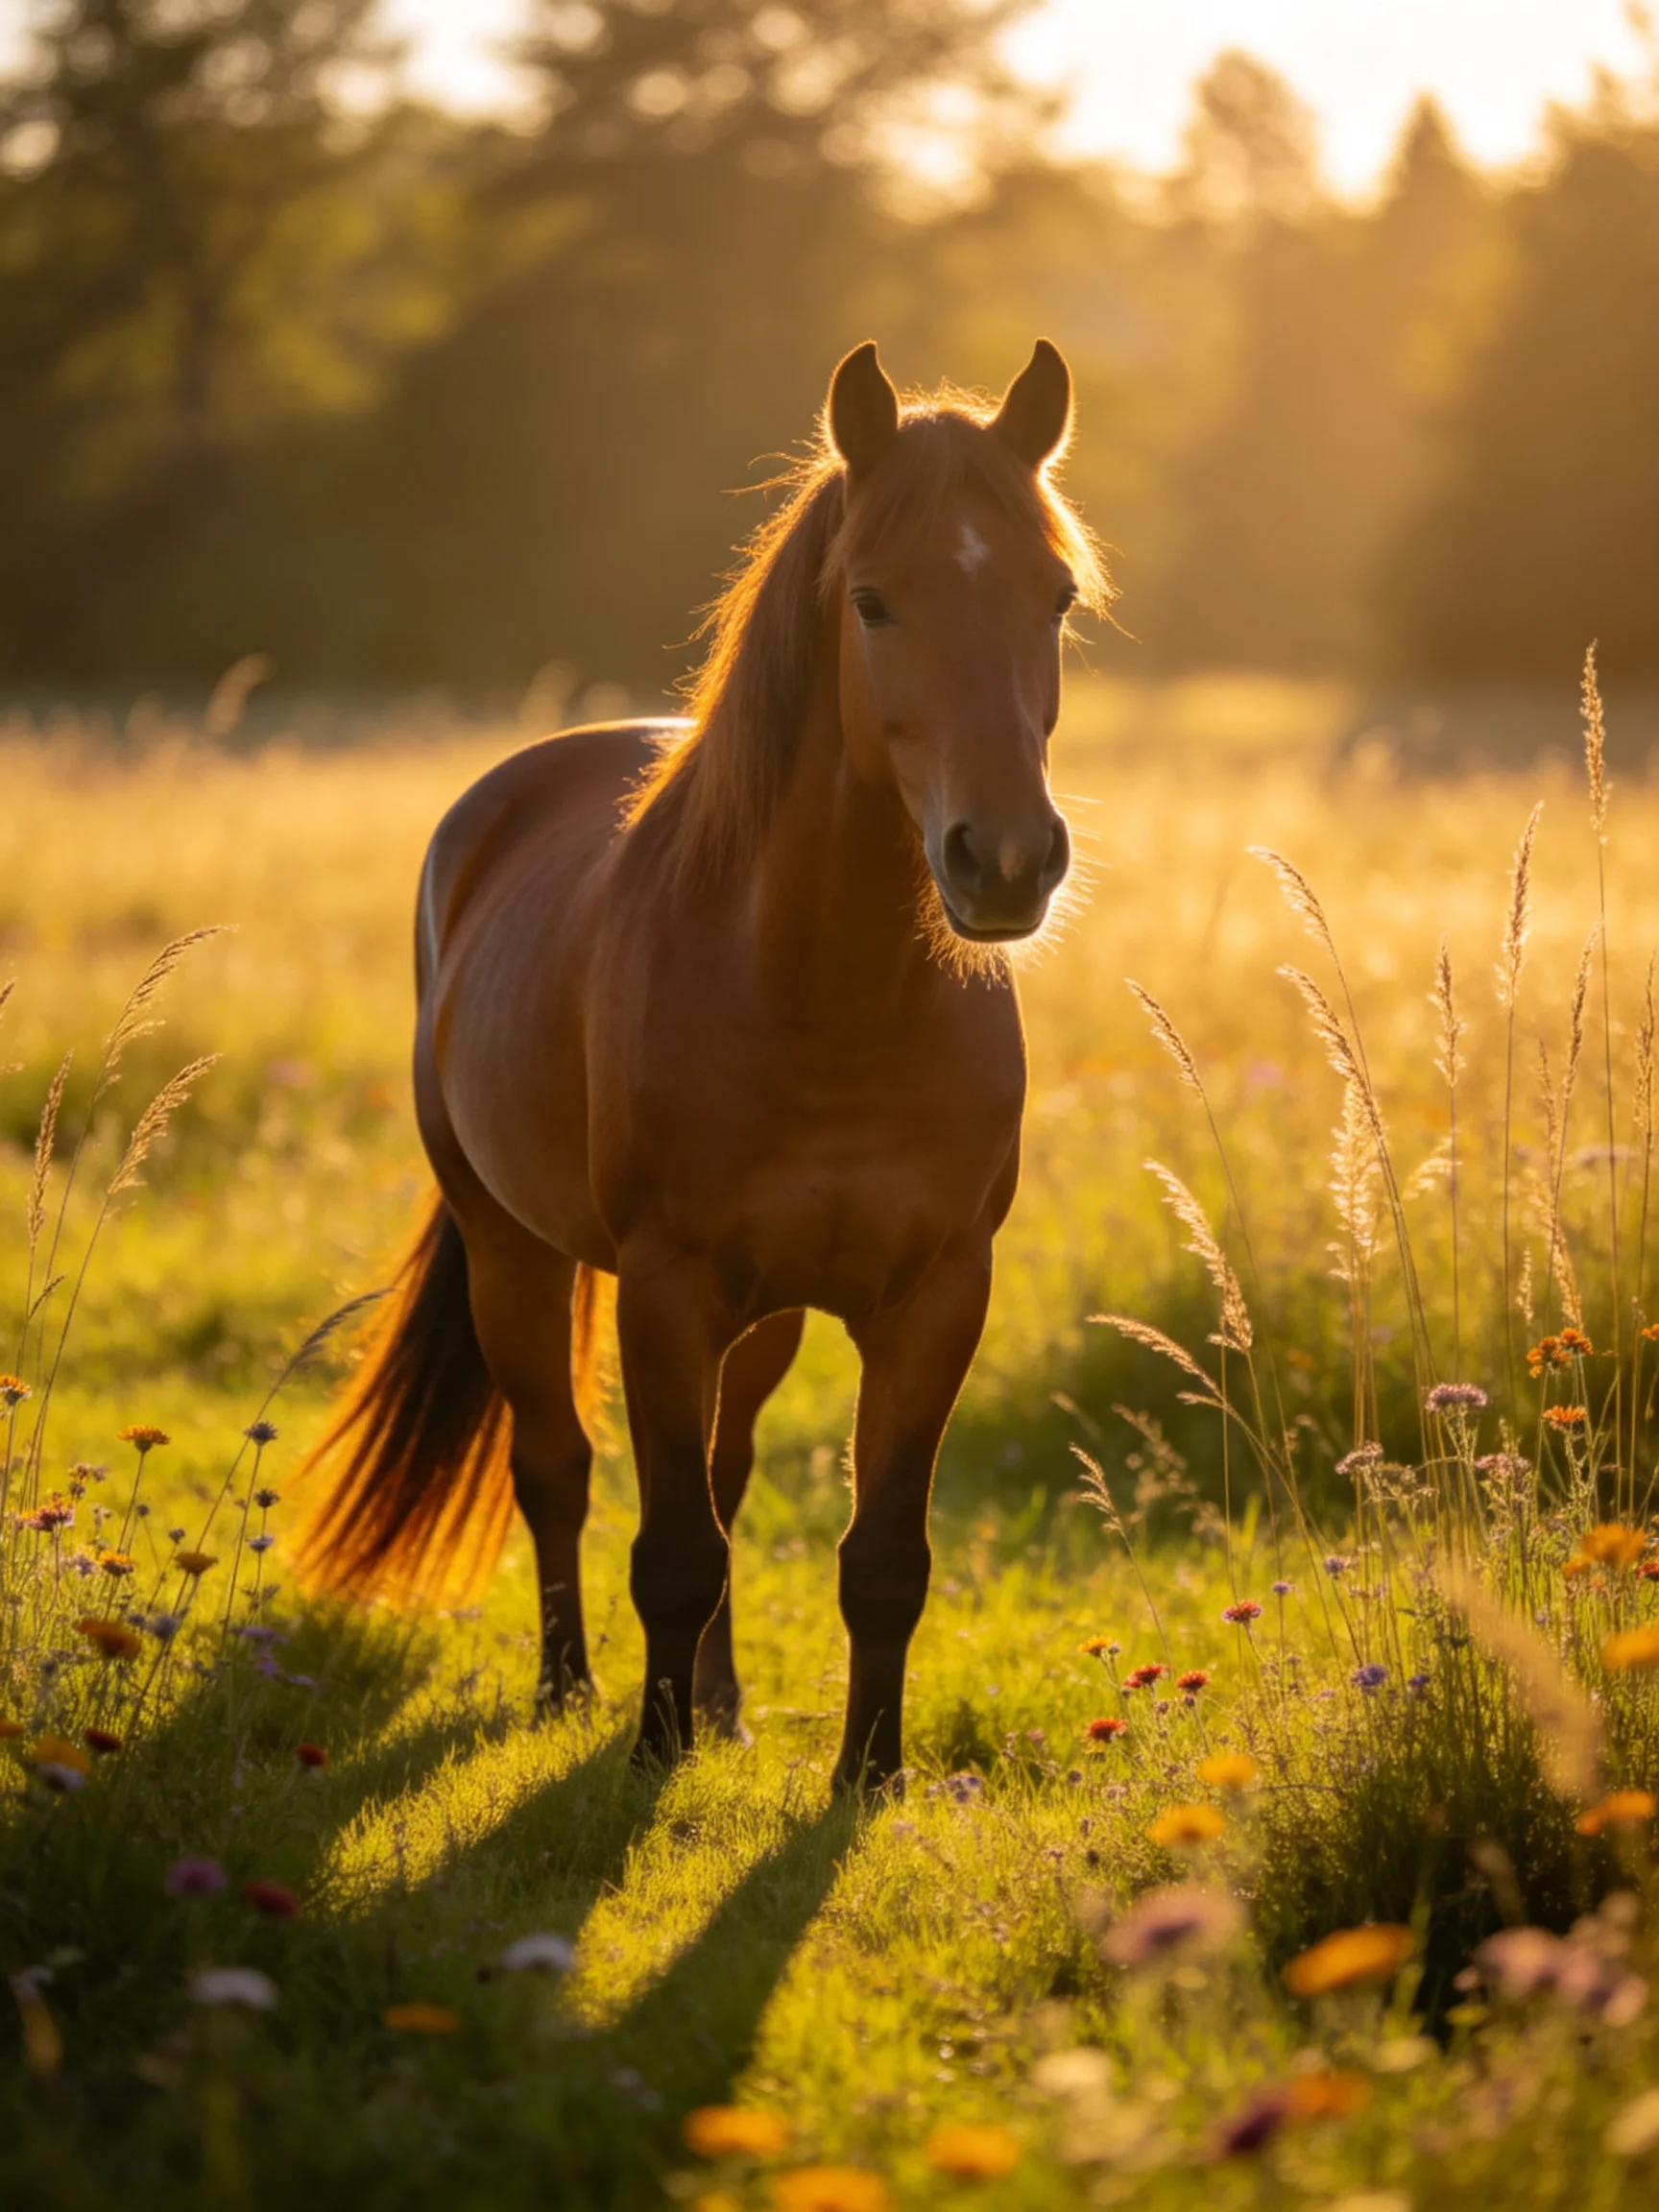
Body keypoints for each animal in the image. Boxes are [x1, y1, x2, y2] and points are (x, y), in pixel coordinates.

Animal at [298, 338, 1108, 1790]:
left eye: (1057, 596)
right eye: (873, 601)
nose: (1007, 862)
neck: (824, 994)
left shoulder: (936, 1298)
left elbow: (878, 1558)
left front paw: (867, 1774)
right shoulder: (665, 1291)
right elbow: (669, 1546)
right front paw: (648, 1750)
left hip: (766, 1311)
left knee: (724, 1477)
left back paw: (723, 1706)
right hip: (514, 1251)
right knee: (556, 1468)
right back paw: (571, 1690)